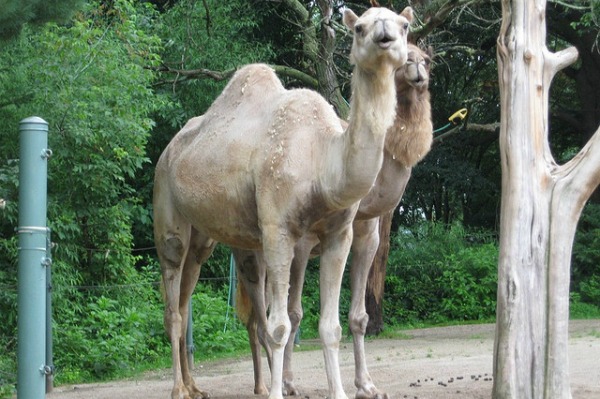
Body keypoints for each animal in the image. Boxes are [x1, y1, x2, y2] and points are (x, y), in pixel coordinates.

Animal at [152, 6, 412, 399]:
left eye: (404, 25)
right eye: (360, 28)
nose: (385, 37)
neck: (322, 161)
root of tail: (168, 152)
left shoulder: (339, 235)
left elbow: (330, 327)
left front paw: (339, 391)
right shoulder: (278, 231)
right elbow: (278, 326)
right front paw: (279, 389)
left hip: (202, 238)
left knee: (186, 294)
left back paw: (195, 386)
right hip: (166, 205)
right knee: (173, 301)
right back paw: (179, 389)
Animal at [233, 43, 432, 399]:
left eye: (426, 58)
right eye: (407, 57)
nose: (416, 68)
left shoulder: (366, 234)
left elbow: (359, 316)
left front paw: (367, 385)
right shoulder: (302, 241)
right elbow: (295, 313)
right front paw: (290, 382)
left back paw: (262, 382)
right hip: (251, 251)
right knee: (258, 315)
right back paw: (266, 383)